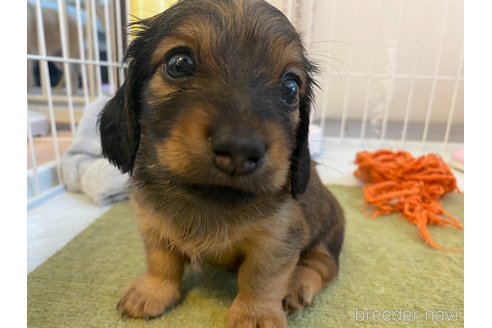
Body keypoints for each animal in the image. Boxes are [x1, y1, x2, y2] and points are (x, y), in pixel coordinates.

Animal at [99, 1, 346, 326]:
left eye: (291, 87)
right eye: (178, 63)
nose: (240, 149)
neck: (209, 200)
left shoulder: (277, 239)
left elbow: (260, 279)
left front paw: (256, 315)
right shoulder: (153, 226)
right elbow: (161, 261)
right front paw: (152, 291)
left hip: (327, 233)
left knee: (323, 264)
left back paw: (298, 284)